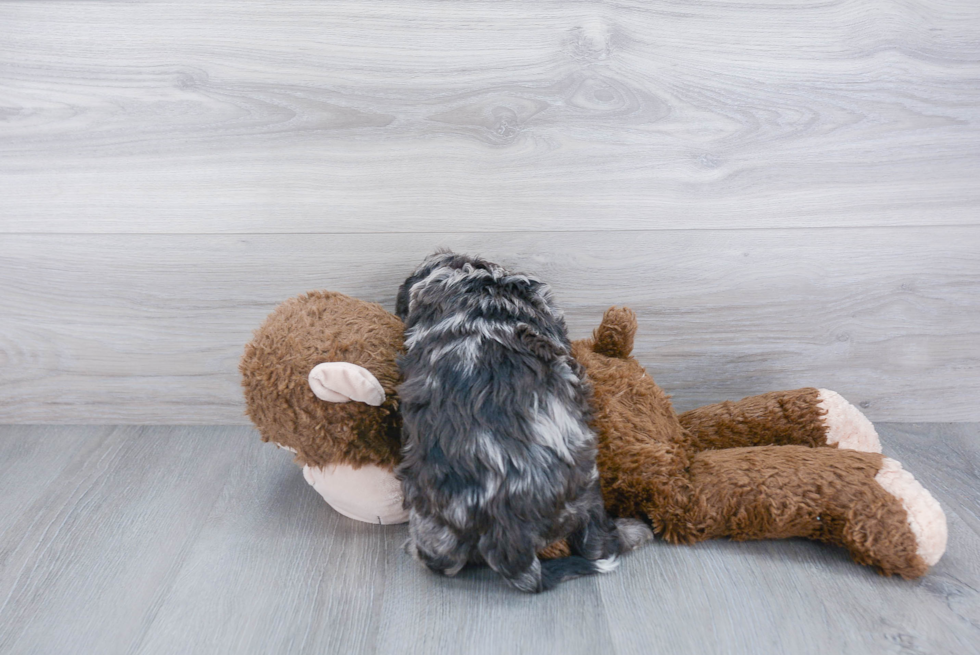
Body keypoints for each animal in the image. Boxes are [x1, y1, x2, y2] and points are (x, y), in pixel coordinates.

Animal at [394, 251, 656, 596]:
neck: (482, 291)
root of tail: (508, 532)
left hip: (435, 524)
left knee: (442, 562)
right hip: (586, 488)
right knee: (597, 544)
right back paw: (634, 532)